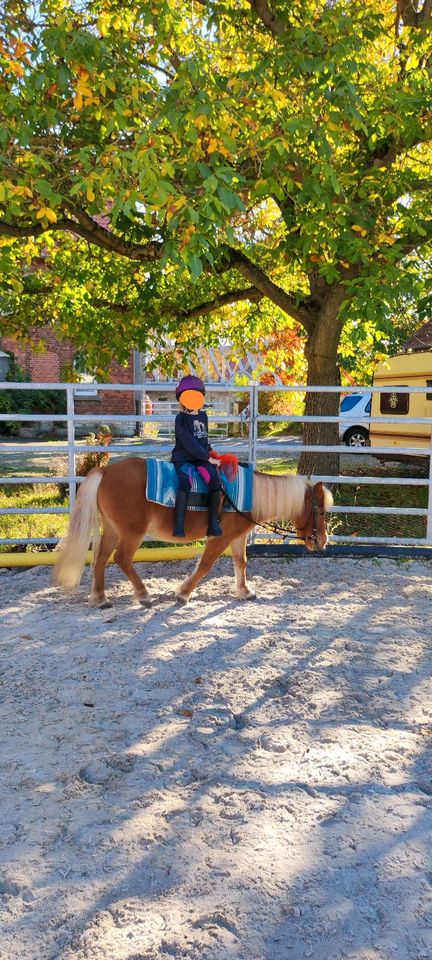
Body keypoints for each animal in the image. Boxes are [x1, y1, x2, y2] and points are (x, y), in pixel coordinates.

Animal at [53, 458, 330, 608]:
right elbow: (205, 565)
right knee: (122, 559)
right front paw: (183, 594)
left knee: (100, 558)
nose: (322, 542)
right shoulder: (221, 538)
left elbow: (241, 562)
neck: (247, 496)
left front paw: (245, 591)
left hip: (112, 529)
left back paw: (101, 598)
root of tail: (106, 471)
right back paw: (143, 595)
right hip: (131, 533)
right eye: (322, 512)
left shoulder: (238, 537)